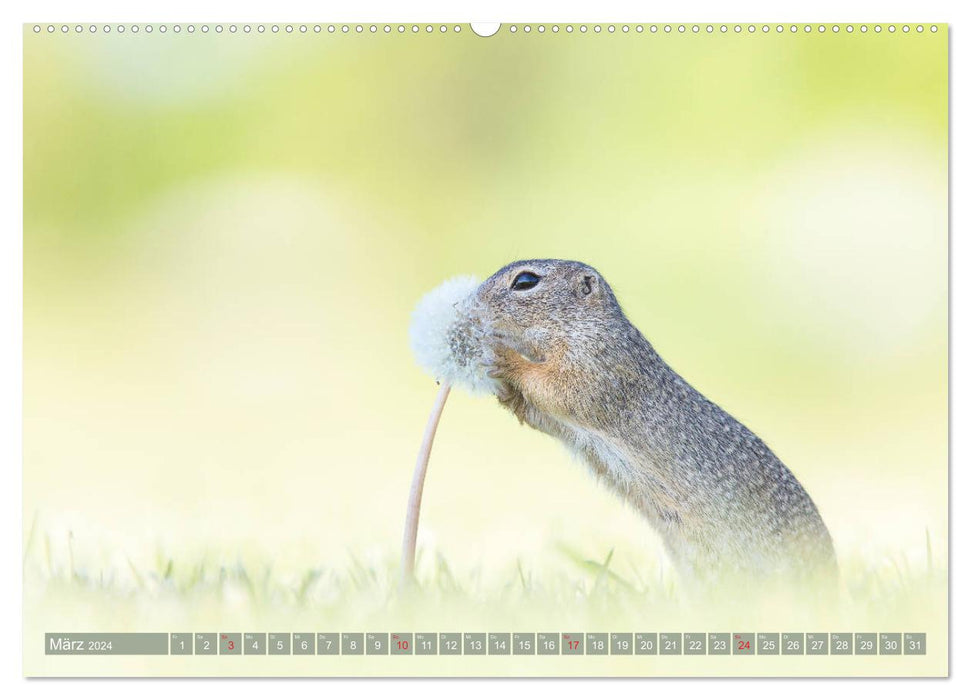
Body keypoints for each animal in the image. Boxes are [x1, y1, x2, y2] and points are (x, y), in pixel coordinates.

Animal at [468, 260, 832, 588]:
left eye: (525, 281)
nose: (472, 303)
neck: (588, 327)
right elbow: (543, 413)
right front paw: (509, 395)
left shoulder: (600, 364)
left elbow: (558, 387)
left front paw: (505, 357)